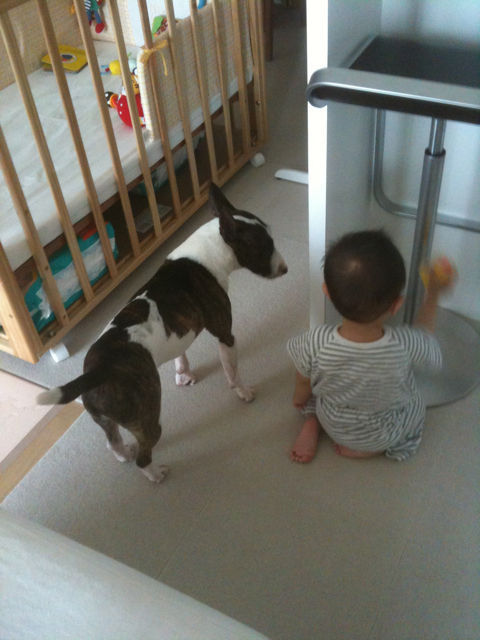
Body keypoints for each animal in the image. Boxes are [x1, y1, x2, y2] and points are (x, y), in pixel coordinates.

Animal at [37, 184, 288, 482]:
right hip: (147, 418)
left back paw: (124, 453)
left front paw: (184, 375)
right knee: (144, 456)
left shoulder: (180, 332)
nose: (285, 269)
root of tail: (98, 371)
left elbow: (182, 355)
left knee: (113, 442)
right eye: (265, 247)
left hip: (104, 418)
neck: (211, 249)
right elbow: (232, 371)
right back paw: (156, 474)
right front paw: (243, 392)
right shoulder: (225, 334)